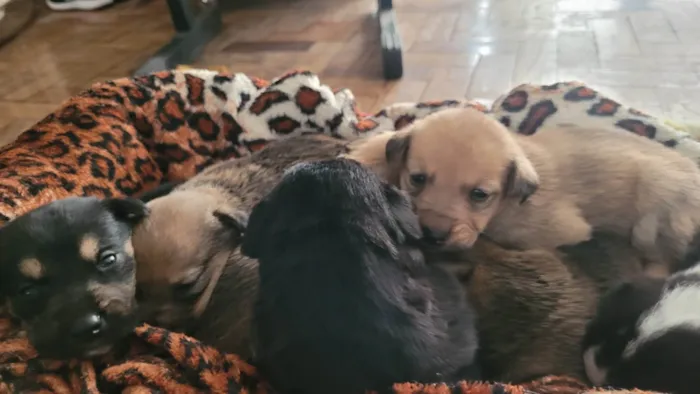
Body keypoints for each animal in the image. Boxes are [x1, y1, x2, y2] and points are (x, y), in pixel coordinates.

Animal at [350, 107, 700, 274]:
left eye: (479, 195)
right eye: (418, 179)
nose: (433, 235)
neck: (506, 206)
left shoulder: (561, 233)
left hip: (654, 216)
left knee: (662, 261)